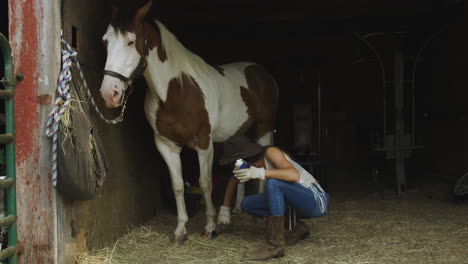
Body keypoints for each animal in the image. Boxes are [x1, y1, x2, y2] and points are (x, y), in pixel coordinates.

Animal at [99, 0, 278, 243]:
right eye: (105, 42)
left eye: (131, 41)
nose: (110, 93)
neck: (178, 90)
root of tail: (261, 72)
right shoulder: (166, 145)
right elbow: (177, 186)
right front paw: (180, 230)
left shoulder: (204, 144)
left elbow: (205, 183)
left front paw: (210, 226)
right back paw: (238, 207)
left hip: (263, 130)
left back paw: (257, 216)